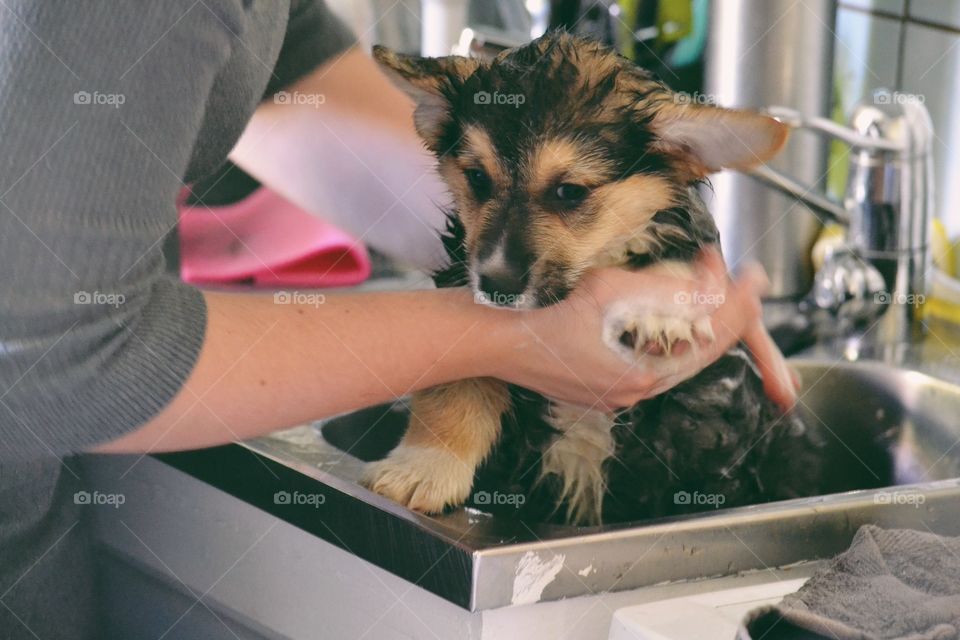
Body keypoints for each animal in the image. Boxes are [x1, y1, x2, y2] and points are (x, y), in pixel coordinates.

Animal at [362, 32, 824, 524]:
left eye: (569, 192)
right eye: (477, 178)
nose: (496, 287)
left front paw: (658, 312)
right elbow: (454, 389)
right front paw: (423, 466)